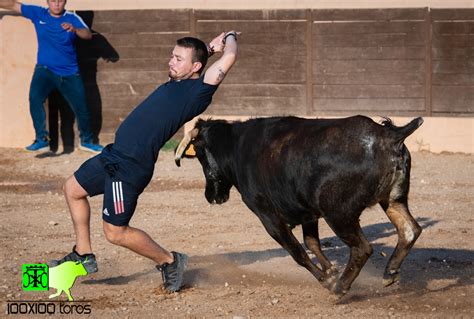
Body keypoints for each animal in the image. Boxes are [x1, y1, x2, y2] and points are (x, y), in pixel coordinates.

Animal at [174, 115, 422, 298]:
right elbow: (311, 242)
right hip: (393, 200)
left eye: (200, 156)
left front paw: (327, 280)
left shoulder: (266, 213)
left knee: (362, 248)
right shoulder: (307, 213)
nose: (211, 196)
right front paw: (330, 272)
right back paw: (389, 273)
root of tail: (388, 135)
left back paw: (340, 288)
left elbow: (296, 251)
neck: (237, 147)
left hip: (338, 214)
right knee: (410, 229)